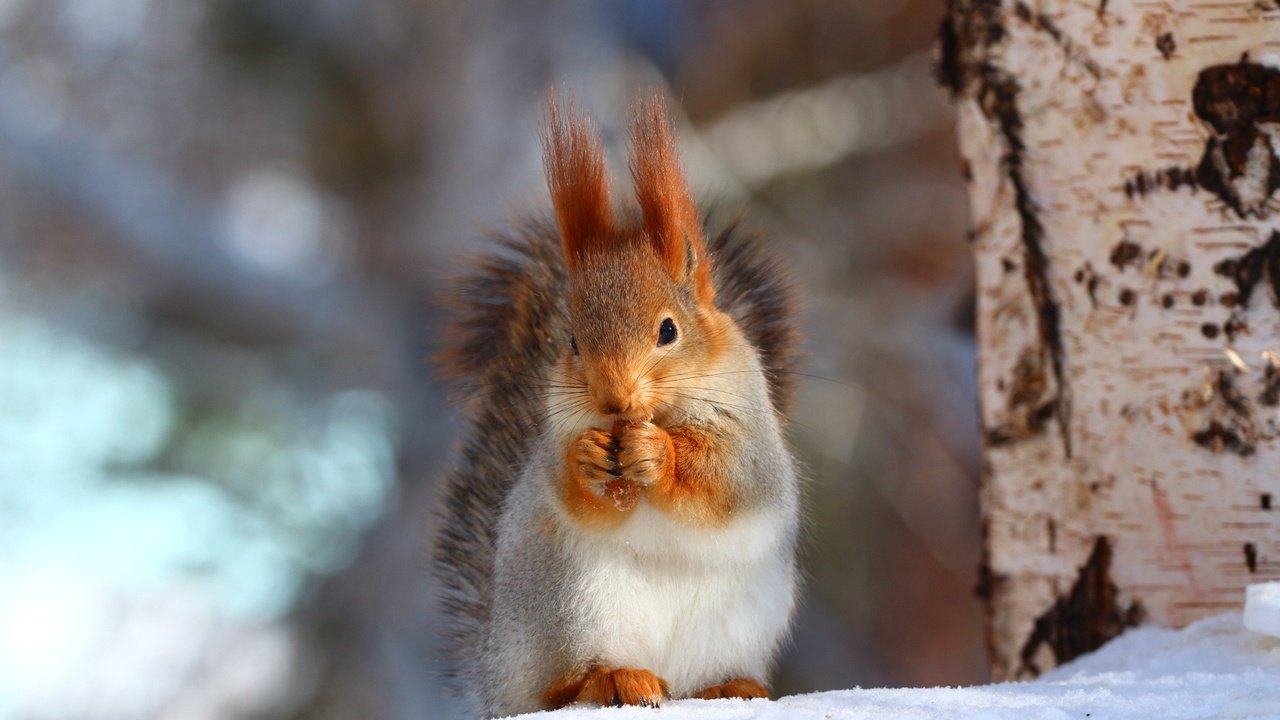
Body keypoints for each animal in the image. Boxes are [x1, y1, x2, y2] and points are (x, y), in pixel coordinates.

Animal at [435, 92, 803, 712]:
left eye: (669, 331)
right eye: (572, 341)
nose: (613, 398)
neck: (654, 415)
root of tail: (495, 677)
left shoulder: (750, 434)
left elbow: (729, 480)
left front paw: (661, 455)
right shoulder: (557, 433)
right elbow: (573, 490)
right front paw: (588, 459)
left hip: (741, 619)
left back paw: (731, 684)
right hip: (571, 604)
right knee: (558, 688)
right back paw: (610, 678)